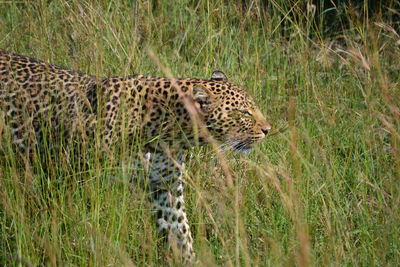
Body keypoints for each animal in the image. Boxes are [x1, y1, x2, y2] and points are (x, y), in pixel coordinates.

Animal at [0, 50, 272, 264]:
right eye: (244, 112)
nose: (268, 129)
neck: (167, 131)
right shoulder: (72, 178)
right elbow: (73, 225)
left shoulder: (166, 187)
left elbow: (180, 231)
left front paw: (189, 260)